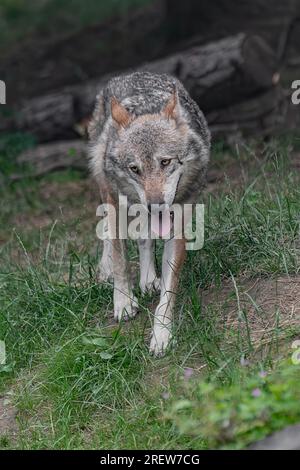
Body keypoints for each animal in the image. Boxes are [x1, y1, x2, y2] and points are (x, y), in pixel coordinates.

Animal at [89, 71, 210, 354]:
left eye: (165, 162)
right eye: (134, 169)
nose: (155, 205)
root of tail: (132, 73)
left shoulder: (179, 223)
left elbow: (169, 288)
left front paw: (162, 333)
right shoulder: (116, 204)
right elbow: (120, 259)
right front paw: (123, 302)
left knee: (145, 237)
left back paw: (147, 279)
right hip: (104, 185)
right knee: (109, 234)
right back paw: (106, 269)